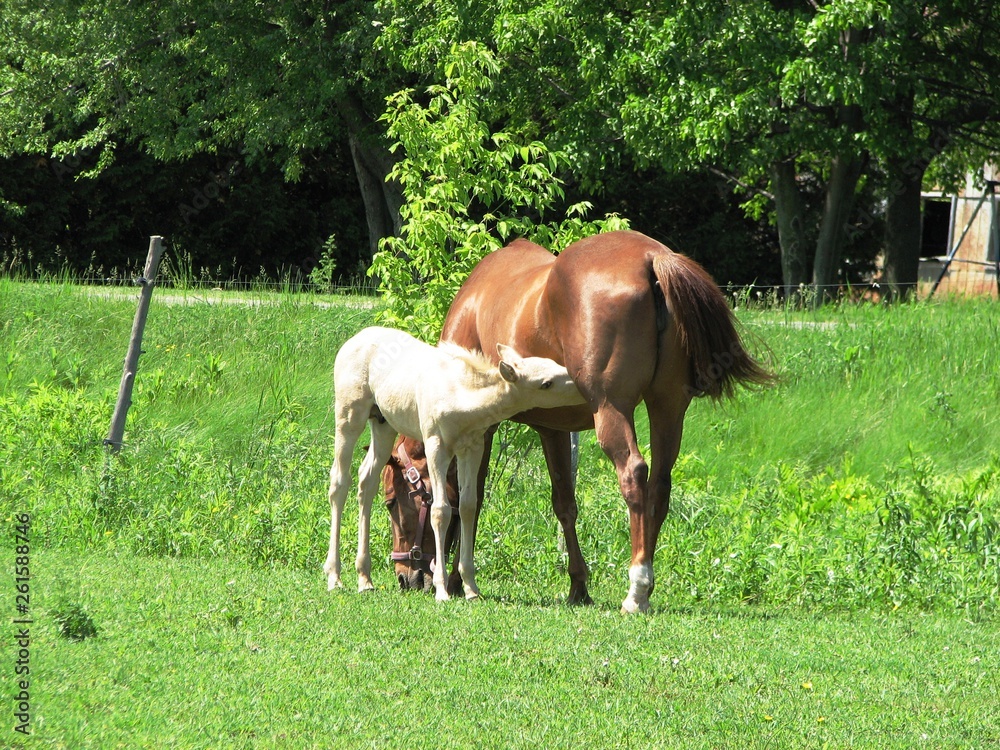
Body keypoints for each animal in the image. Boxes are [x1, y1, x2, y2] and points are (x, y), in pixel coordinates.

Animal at [323, 326, 585, 601]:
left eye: (555, 364)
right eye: (546, 383)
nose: (581, 386)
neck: (462, 398)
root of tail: (354, 340)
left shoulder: (472, 448)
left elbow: (468, 506)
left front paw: (470, 586)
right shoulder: (436, 445)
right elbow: (441, 510)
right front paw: (442, 588)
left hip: (383, 424)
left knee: (367, 479)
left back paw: (365, 578)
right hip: (349, 415)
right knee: (339, 481)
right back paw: (334, 576)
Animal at [385, 230, 773, 612]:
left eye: (391, 501)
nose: (405, 578)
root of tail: (653, 257)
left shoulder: (481, 431)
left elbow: (472, 500)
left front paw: (456, 579)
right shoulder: (554, 430)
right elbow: (564, 504)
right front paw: (578, 585)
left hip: (612, 411)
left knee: (634, 475)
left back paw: (636, 589)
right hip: (668, 408)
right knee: (659, 485)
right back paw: (645, 586)